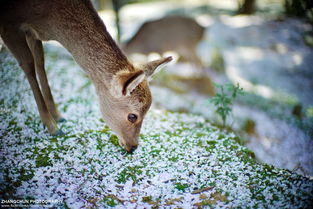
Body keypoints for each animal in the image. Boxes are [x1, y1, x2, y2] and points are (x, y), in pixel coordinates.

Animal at [0, 0, 171, 153]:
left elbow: (40, 62)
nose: (133, 147)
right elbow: (28, 65)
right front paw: (53, 127)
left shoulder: (33, 33)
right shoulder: (10, 25)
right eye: (132, 116)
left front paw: (58, 116)